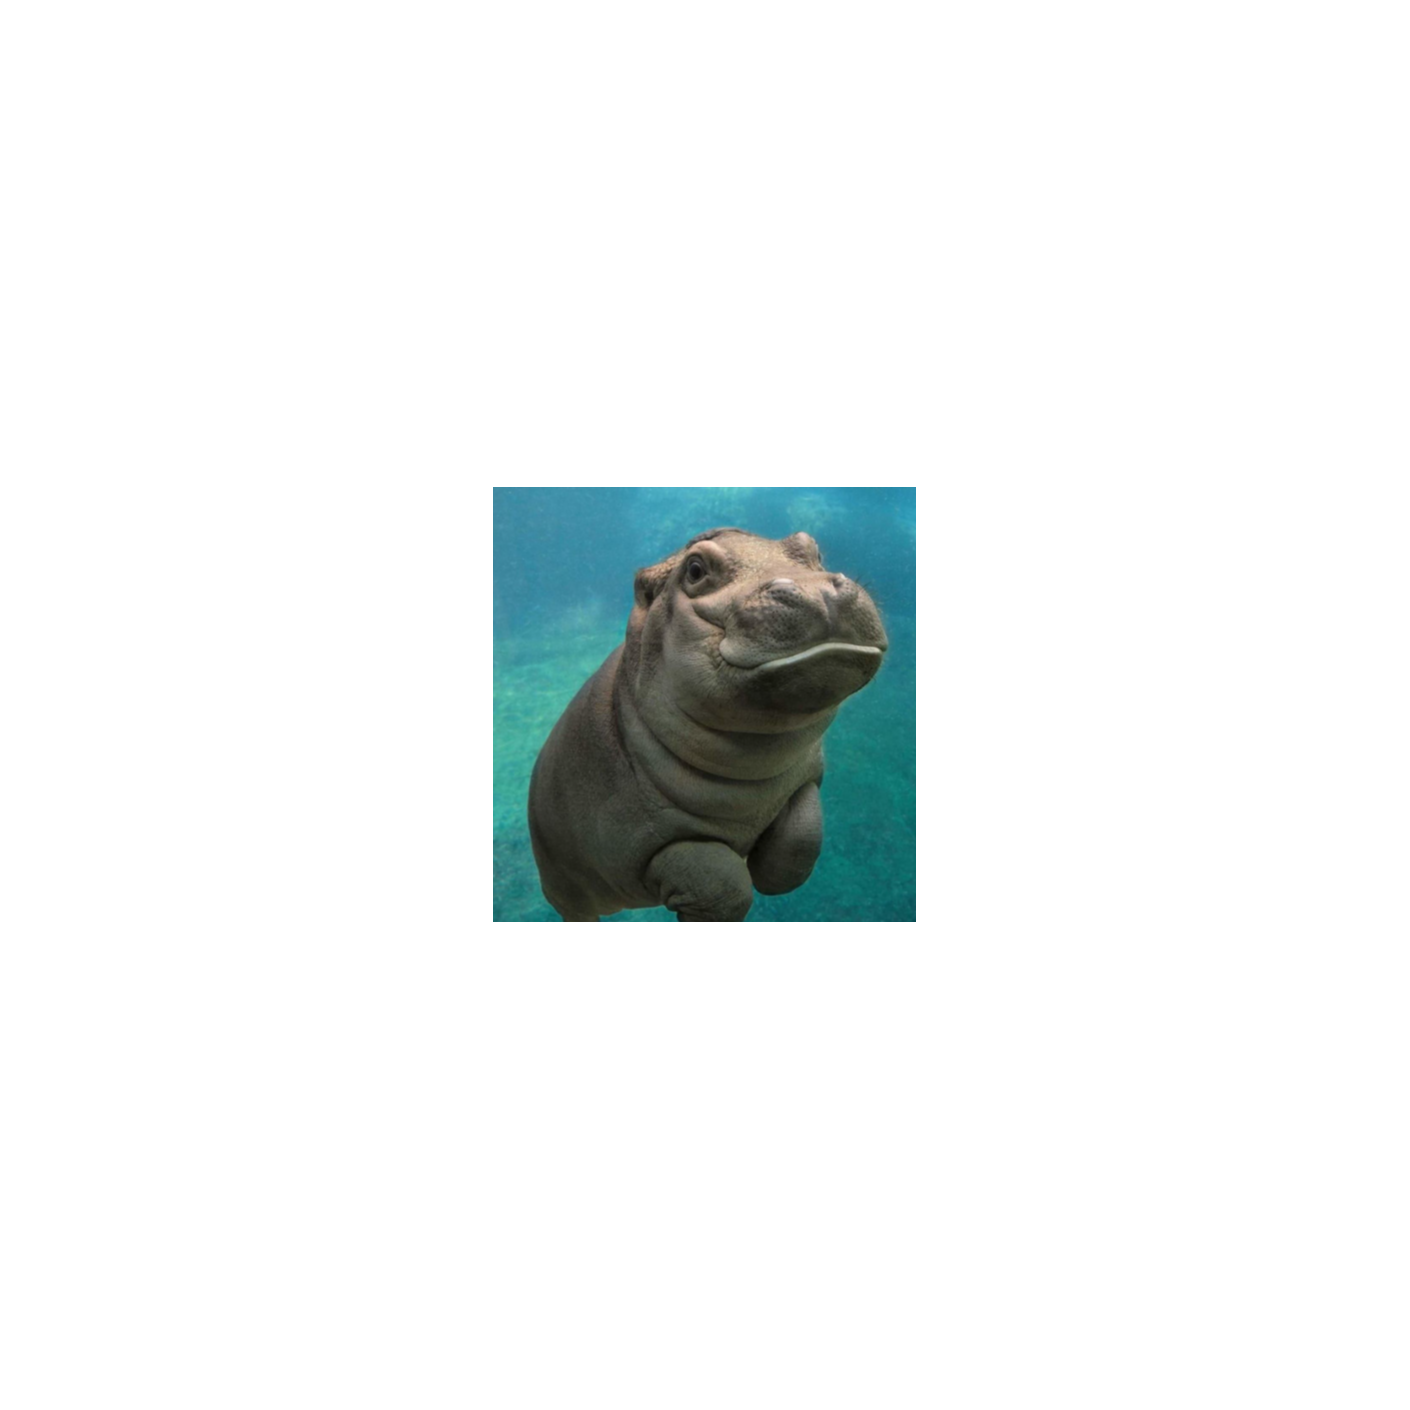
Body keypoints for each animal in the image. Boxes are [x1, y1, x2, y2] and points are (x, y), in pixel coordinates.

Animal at [528, 528, 887, 922]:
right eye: (695, 570)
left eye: (814, 550)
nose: (818, 590)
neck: (752, 766)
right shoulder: (642, 842)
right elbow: (722, 885)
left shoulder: (804, 779)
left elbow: (801, 839)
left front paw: (769, 872)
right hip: (565, 888)